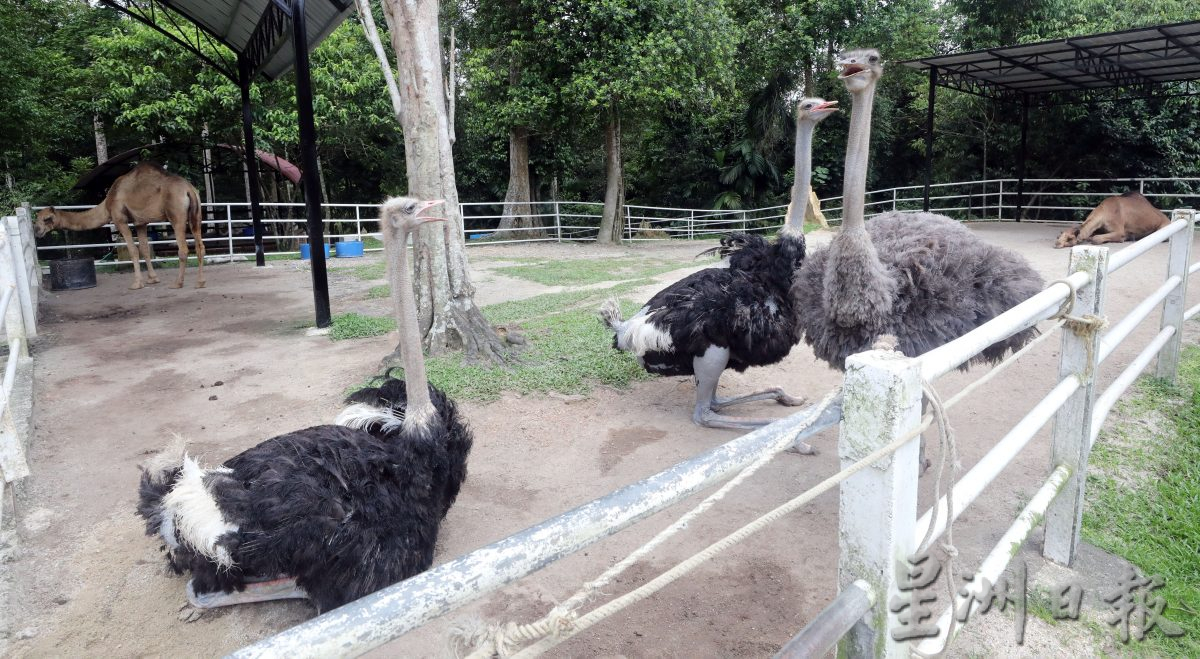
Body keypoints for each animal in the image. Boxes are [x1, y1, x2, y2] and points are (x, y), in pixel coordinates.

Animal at [36, 162, 206, 288]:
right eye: (36, 218)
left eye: (47, 218)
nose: (37, 230)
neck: (107, 203)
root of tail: (189, 190)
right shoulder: (140, 222)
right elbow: (144, 249)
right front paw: (153, 279)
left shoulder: (120, 220)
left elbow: (133, 250)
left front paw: (137, 283)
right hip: (196, 215)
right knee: (200, 247)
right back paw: (200, 282)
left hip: (176, 216)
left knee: (183, 249)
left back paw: (177, 283)